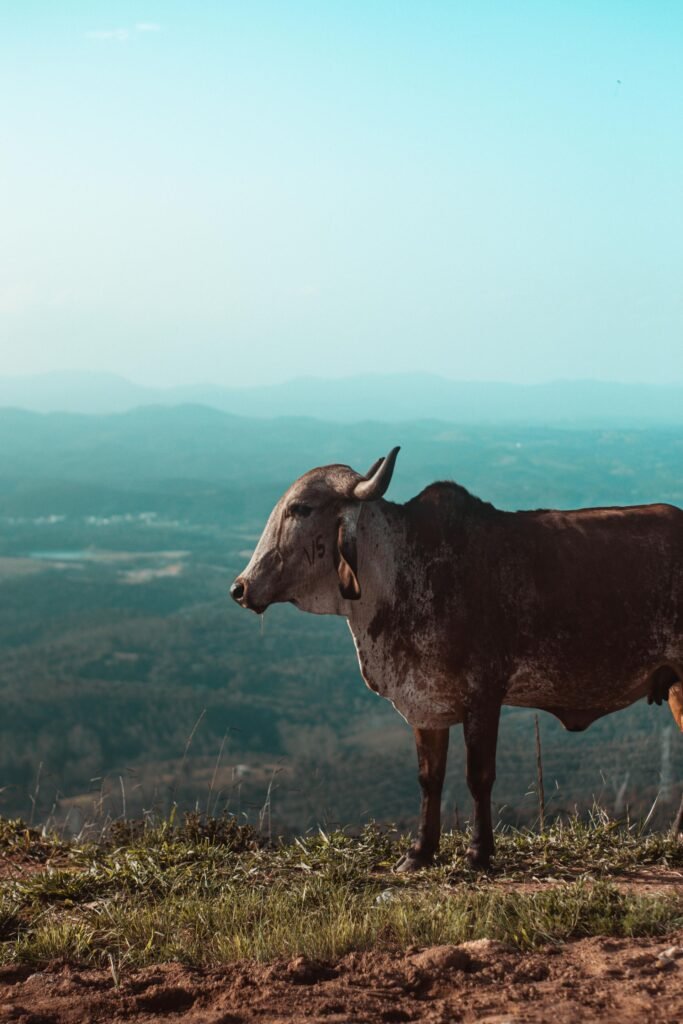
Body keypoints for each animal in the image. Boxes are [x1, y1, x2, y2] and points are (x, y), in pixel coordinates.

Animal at [230, 448, 683, 869]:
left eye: (300, 508)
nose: (240, 588)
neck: (400, 570)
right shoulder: (426, 704)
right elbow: (430, 779)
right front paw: (420, 851)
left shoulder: (483, 697)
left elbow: (478, 777)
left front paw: (479, 852)